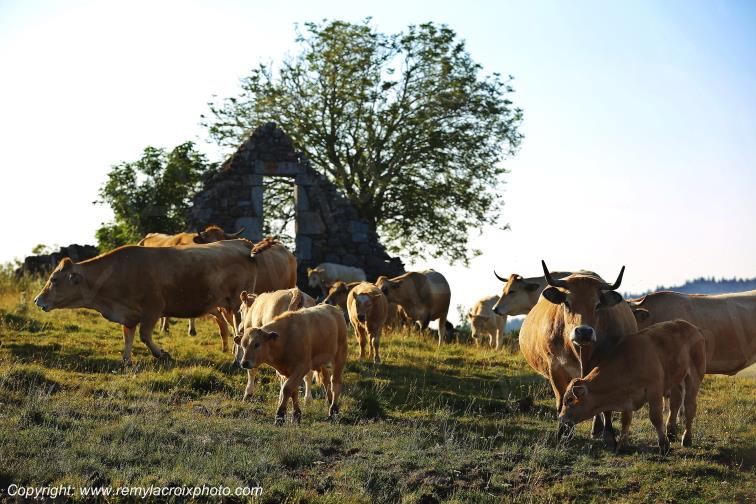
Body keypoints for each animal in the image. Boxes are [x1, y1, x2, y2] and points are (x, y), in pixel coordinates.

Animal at [33, 239, 265, 364]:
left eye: (54, 279)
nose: (37, 300)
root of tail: (242, 244)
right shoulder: (128, 315)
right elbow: (128, 337)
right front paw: (126, 360)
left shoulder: (153, 309)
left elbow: (144, 336)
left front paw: (162, 354)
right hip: (226, 305)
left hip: (237, 304)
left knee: (240, 331)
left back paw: (237, 359)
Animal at [519, 261, 637, 445]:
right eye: (567, 303)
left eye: (597, 305)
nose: (584, 332)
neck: (581, 353)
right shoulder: (556, 368)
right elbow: (562, 400)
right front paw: (563, 433)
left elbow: (607, 407)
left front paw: (609, 435)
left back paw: (597, 429)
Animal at [559, 320, 706, 454]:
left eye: (570, 400)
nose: (561, 417)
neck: (628, 364)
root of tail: (691, 326)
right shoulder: (627, 399)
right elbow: (625, 421)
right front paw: (622, 445)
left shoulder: (654, 390)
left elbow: (656, 417)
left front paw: (664, 444)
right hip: (677, 379)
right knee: (675, 403)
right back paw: (672, 433)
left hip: (695, 376)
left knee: (690, 407)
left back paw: (686, 438)